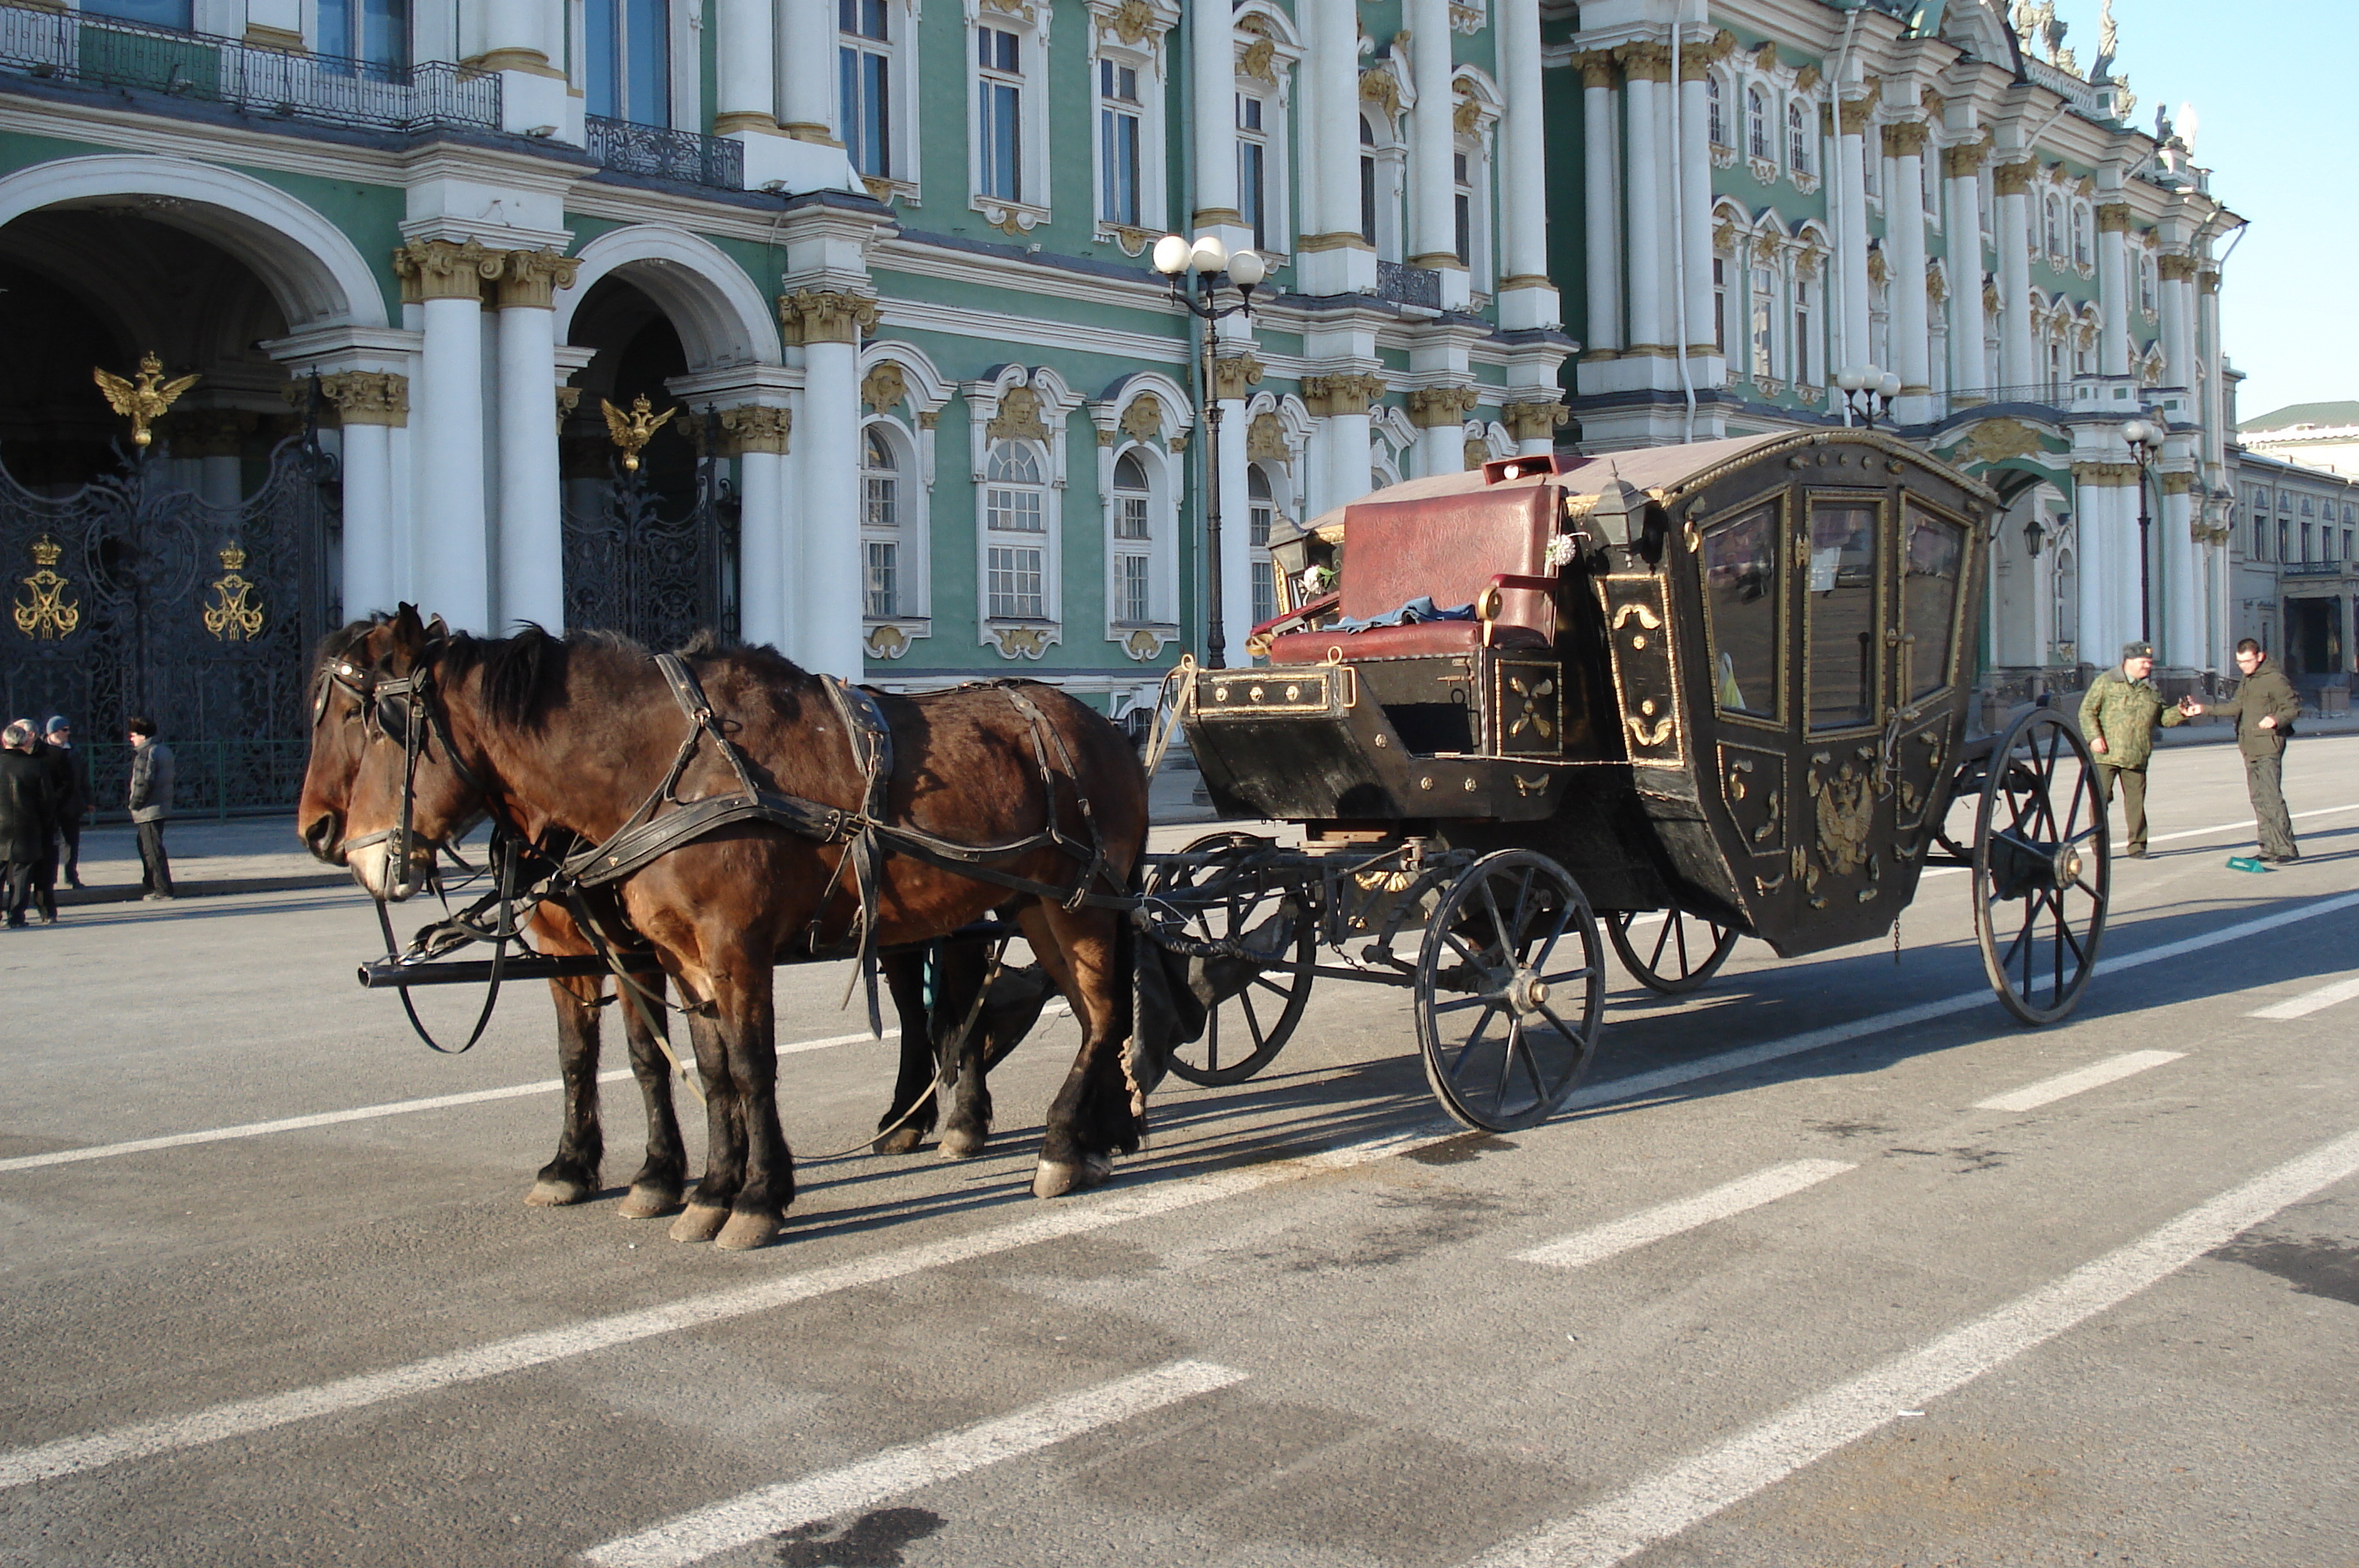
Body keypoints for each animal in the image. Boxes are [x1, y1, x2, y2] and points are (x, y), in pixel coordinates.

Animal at [308, 608, 1155, 1245]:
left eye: (370, 719)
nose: (336, 843)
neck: (669, 772)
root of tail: (1102, 728)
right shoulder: (668, 957)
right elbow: (690, 1069)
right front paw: (703, 1188)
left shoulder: (727, 951)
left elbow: (746, 1068)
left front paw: (751, 1197)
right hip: (1028, 906)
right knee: (1058, 1012)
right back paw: (1077, 1134)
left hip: (1077, 906)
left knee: (1098, 1013)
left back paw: (1058, 1144)